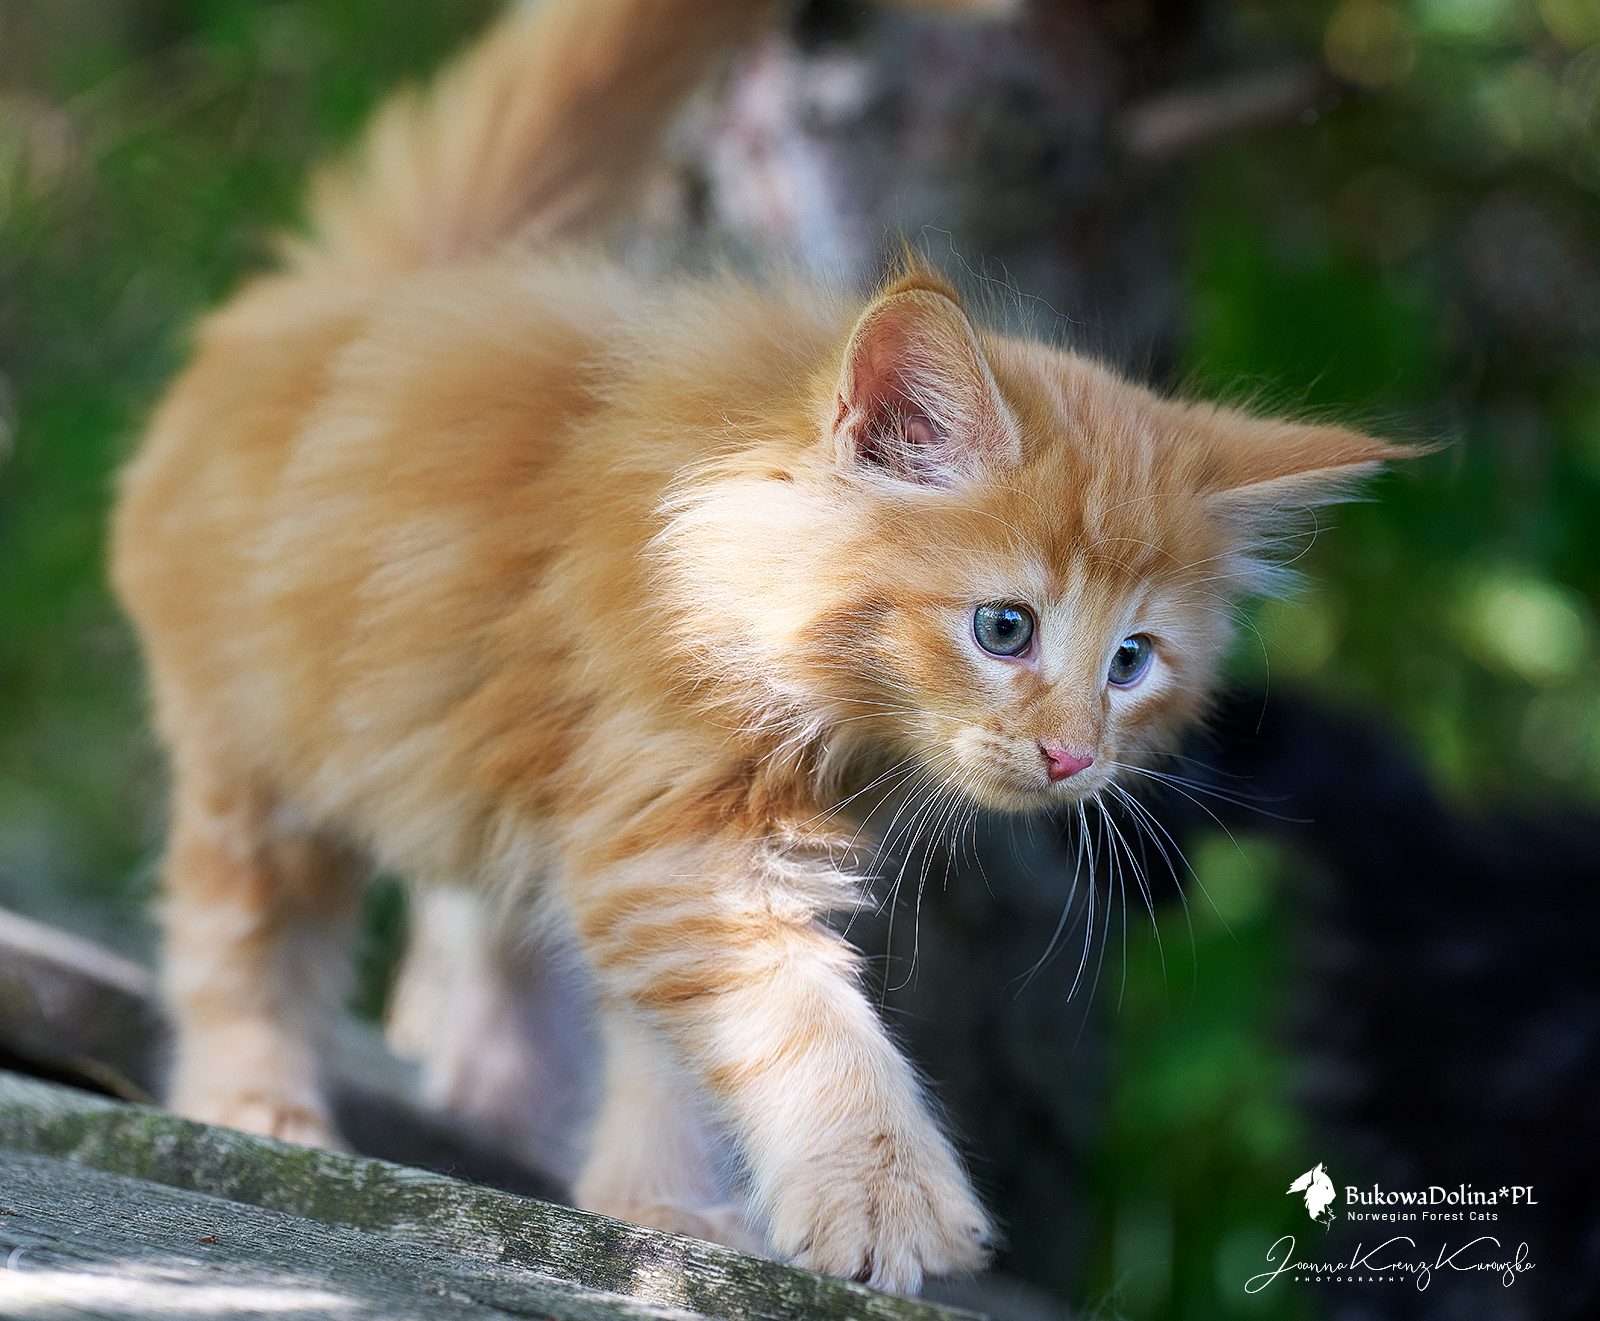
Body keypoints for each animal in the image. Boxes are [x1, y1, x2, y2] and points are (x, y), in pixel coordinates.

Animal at [110, 0, 1417, 1293]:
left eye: (1132, 661)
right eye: (1005, 629)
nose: (1070, 759)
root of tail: (353, 295)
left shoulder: (639, 841)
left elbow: (666, 1052)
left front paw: (656, 1205)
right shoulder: (683, 840)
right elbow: (802, 1025)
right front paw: (887, 1201)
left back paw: (500, 1103)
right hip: (256, 754)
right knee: (239, 938)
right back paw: (253, 1100)